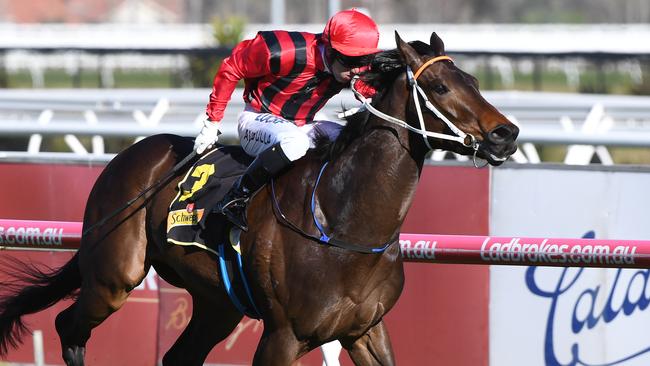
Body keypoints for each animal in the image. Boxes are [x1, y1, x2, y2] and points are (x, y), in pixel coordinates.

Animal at [0, 33, 516, 364]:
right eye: (440, 86)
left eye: (474, 80)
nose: (505, 135)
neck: (342, 224)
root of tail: (128, 155)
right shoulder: (284, 335)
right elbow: (237, 62)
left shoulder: (366, 330)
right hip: (113, 276)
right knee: (68, 327)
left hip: (217, 303)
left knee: (177, 356)